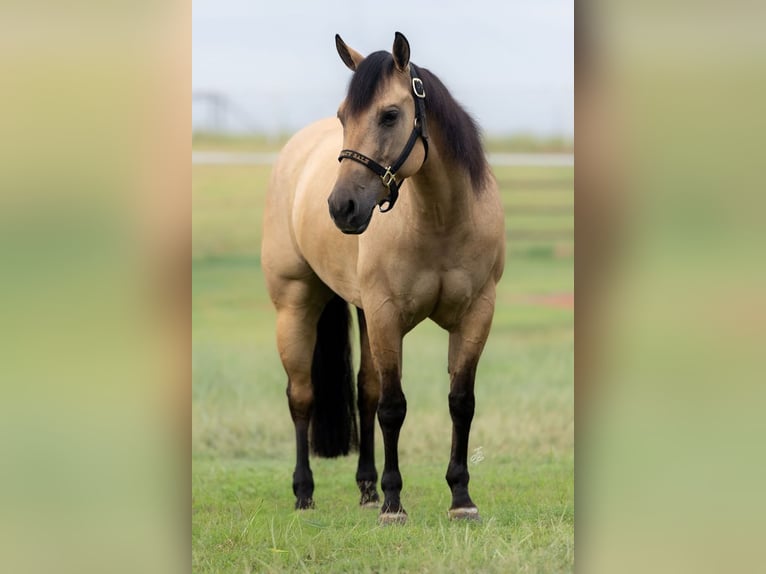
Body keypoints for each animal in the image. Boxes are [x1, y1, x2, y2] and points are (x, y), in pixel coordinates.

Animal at [261, 32, 505, 524]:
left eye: (390, 114)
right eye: (343, 116)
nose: (341, 207)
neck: (440, 220)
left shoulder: (477, 315)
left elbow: (460, 402)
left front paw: (461, 498)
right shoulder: (387, 315)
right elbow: (394, 408)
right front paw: (394, 504)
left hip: (361, 311)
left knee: (364, 394)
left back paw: (367, 489)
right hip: (296, 307)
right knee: (302, 397)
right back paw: (305, 493)